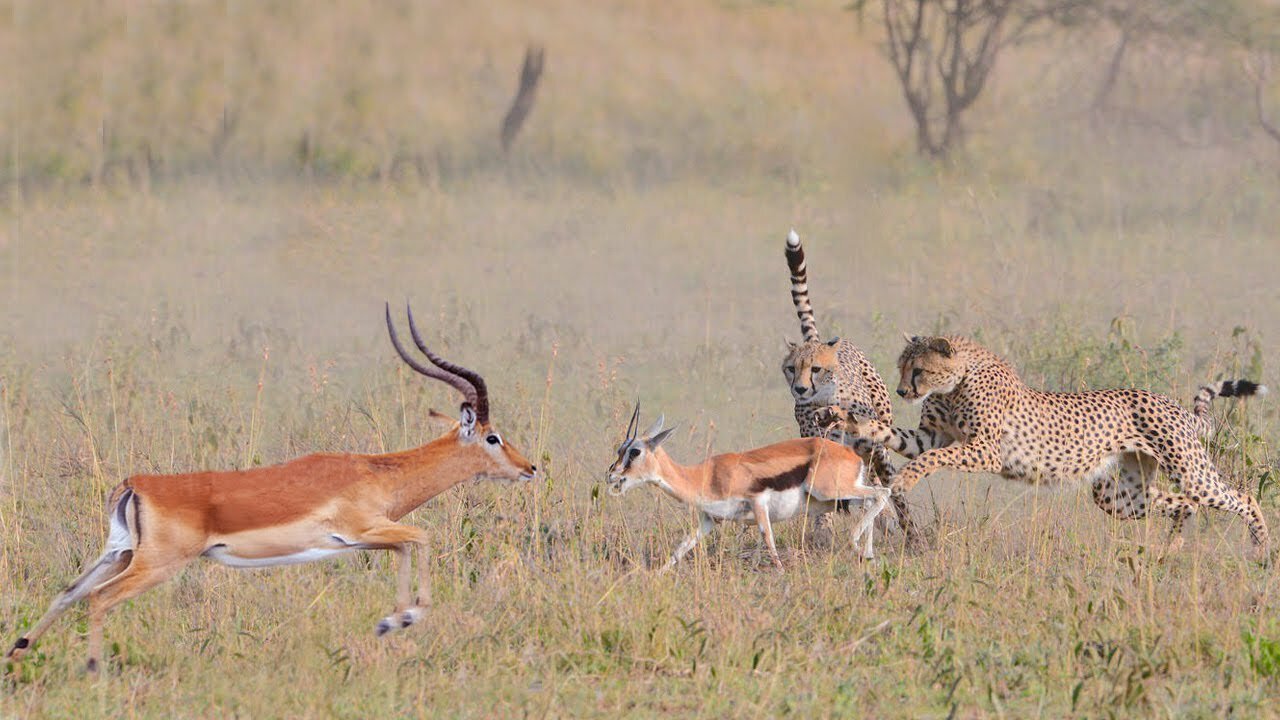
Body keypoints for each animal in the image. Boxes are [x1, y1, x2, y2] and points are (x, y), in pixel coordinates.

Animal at [778, 229, 911, 538]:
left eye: (816, 369)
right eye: (791, 369)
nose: (800, 389)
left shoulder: (879, 452)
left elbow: (896, 493)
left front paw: (914, 536)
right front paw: (823, 531)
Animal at [819, 333, 1269, 558]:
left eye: (919, 369)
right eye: (901, 367)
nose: (901, 390)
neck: (957, 382)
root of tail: (1167, 401)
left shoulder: (984, 451)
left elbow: (933, 457)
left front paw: (907, 479)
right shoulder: (932, 435)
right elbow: (898, 436)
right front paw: (851, 419)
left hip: (1190, 472)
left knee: (1244, 497)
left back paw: (1262, 548)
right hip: (1117, 494)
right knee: (1181, 503)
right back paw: (1174, 541)